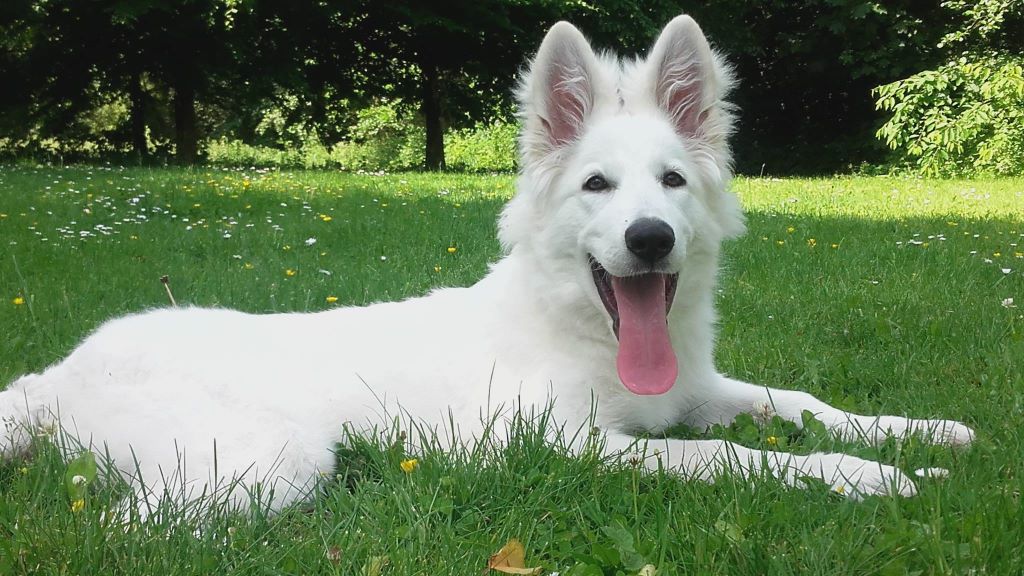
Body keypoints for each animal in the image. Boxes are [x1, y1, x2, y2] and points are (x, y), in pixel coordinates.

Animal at [0, 15, 973, 515]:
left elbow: (800, 405)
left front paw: (923, 431)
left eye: (671, 182)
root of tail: (59, 373)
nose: (650, 239)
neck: (576, 332)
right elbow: (730, 458)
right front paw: (875, 478)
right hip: (276, 460)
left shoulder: (694, 391)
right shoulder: (566, 445)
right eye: (596, 184)